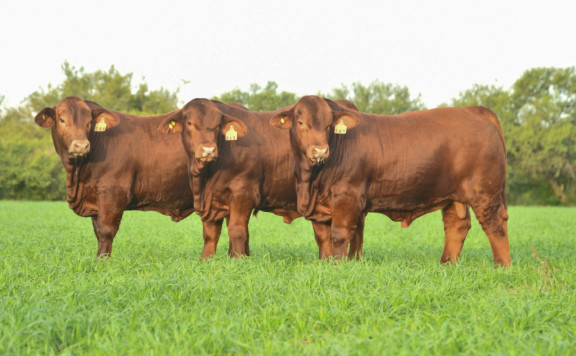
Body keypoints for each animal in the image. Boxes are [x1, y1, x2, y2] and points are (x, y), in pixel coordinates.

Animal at [35, 96, 195, 256]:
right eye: (62, 119)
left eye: (89, 122)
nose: (81, 145)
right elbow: (97, 232)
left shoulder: (113, 193)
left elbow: (106, 231)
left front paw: (103, 259)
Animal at [159, 98, 364, 258]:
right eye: (189, 123)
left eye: (217, 127)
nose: (208, 150)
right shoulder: (211, 203)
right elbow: (210, 234)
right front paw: (206, 261)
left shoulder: (244, 193)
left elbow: (237, 230)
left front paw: (238, 260)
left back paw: (355, 259)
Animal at [272, 96, 510, 266]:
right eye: (301, 122)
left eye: (329, 125)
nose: (320, 150)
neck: (310, 181)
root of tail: (474, 110)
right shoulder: (319, 208)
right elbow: (322, 239)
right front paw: (327, 266)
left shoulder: (347, 197)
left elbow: (339, 235)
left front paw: (338, 266)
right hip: (452, 196)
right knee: (456, 225)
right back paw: (446, 265)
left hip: (485, 191)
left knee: (495, 223)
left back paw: (502, 267)